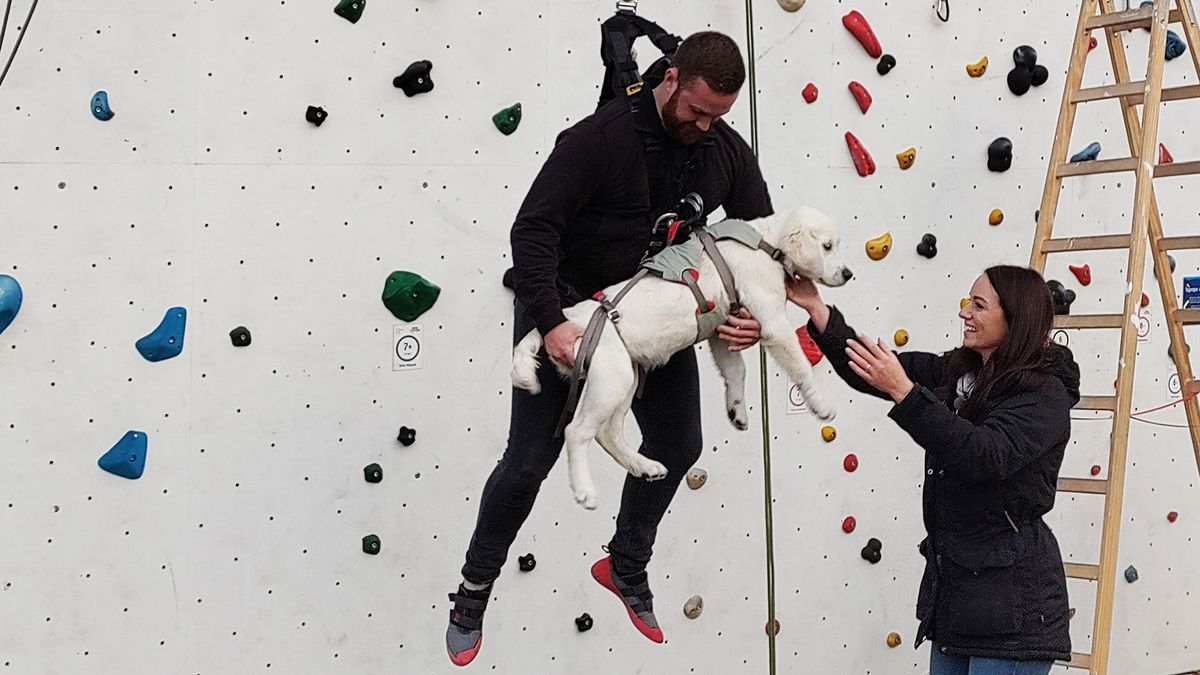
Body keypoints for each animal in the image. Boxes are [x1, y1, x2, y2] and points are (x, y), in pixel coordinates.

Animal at [511, 207, 849, 506]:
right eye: (827, 246)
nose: (848, 273)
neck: (767, 244)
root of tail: (571, 317)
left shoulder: (722, 330)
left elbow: (736, 371)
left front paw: (737, 410)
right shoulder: (773, 323)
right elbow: (801, 367)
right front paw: (821, 406)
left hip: (625, 377)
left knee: (607, 433)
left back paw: (644, 467)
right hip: (610, 380)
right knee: (576, 431)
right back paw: (585, 491)